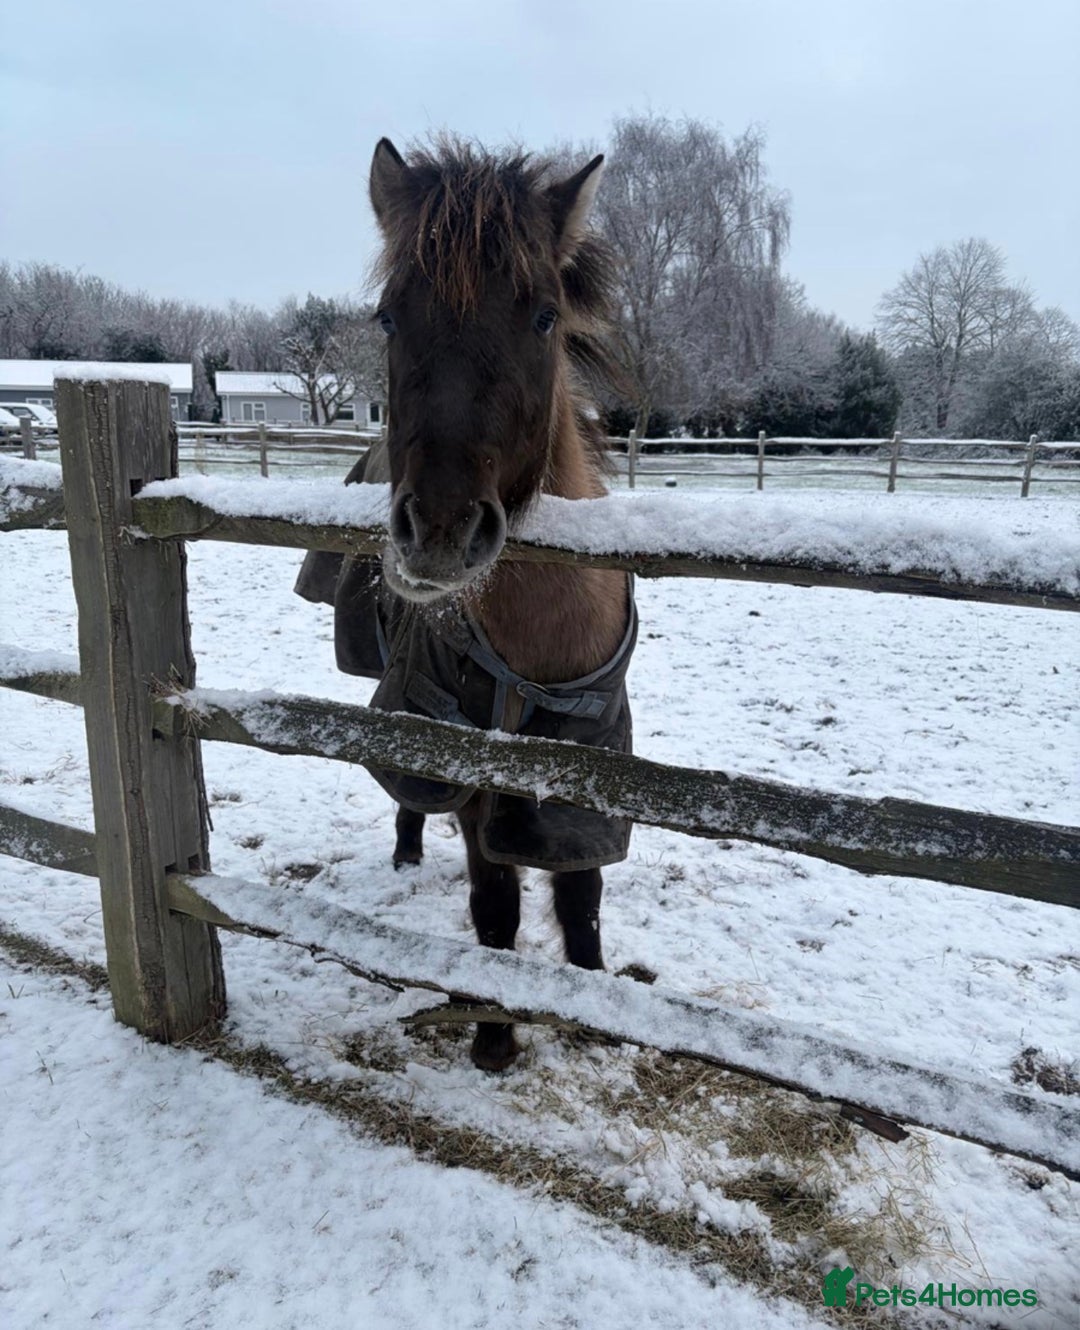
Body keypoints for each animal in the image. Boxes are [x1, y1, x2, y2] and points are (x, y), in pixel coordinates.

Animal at [295, 137, 636, 1070]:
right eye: (387, 317)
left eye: (545, 318)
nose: (440, 529)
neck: (540, 655)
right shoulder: (473, 758)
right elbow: (497, 910)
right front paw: (492, 1035)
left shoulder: (585, 762)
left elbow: (581, 896)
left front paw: (591, 1004)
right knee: (415, 795)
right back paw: (410, 853)